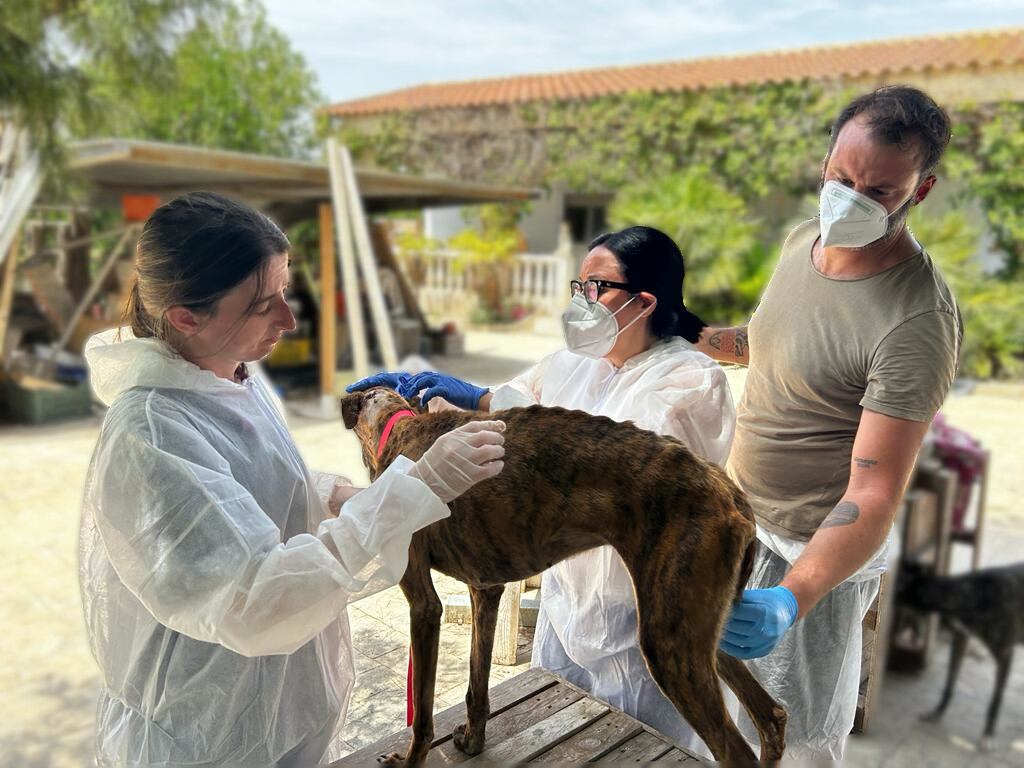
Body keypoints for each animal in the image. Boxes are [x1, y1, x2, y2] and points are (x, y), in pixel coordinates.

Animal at [342, 393, 782, 765]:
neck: (402, 424)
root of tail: (727, 489)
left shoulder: (424, 606)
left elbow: (422, 715)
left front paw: (408, 761)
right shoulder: (485, 589)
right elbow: (477, 683)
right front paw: (473, 740)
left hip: (669, 643)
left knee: (737, 753)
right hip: (698, 627)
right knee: (773, 716)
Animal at [901, 561, 1019, 753]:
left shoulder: (1005, 654)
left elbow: (995, 700)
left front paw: (988, 734)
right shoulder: (960, 639)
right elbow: (950, 683)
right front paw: (936, 712)